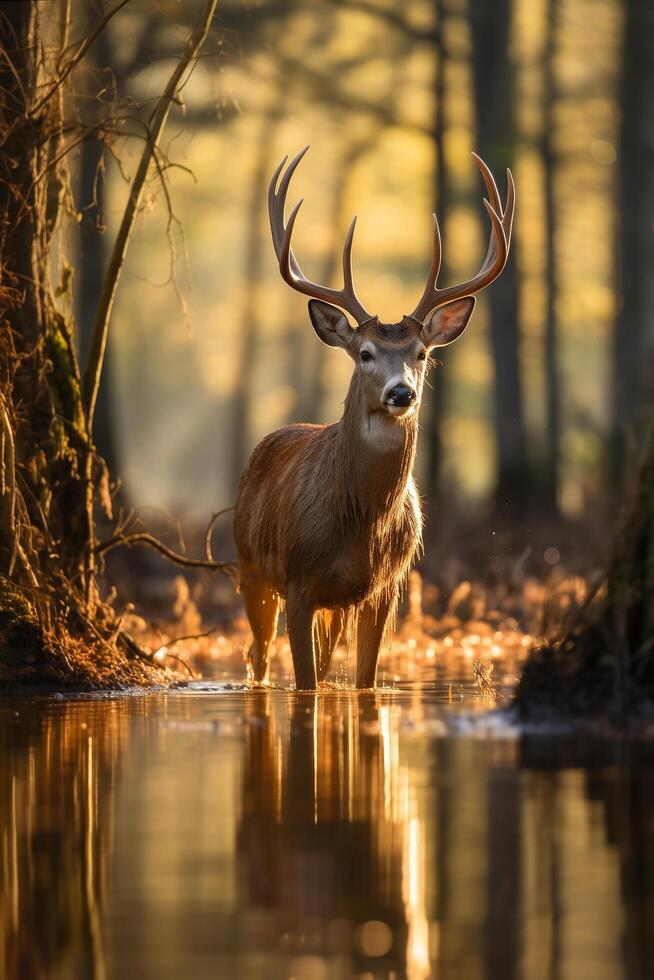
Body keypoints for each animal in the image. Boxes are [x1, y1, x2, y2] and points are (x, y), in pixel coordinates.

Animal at [236, 149, 516, 692]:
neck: (361, 525)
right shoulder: (299, 581)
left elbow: (362, 680)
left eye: (422, 354)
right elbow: (305, 683)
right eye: (364, 353)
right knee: (256, 655)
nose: (401, 392)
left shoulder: (385, 587)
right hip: (248, 565)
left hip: (331, 603)